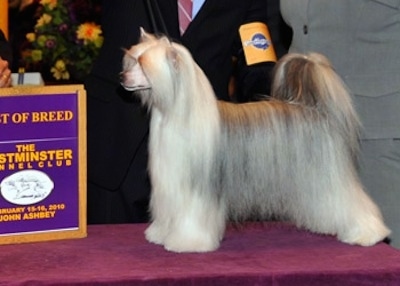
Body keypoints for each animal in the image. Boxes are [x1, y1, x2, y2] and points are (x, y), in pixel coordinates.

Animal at [120, 29, 390, 252]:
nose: (122, 77)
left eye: (143, 64)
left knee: (351, 201)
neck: (176, 113)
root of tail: (316, 110)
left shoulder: (196, 189)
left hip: (327, 174)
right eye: (133, 60)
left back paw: (367, 234)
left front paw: (188, 243)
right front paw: (160, 234)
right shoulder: (170, 187)